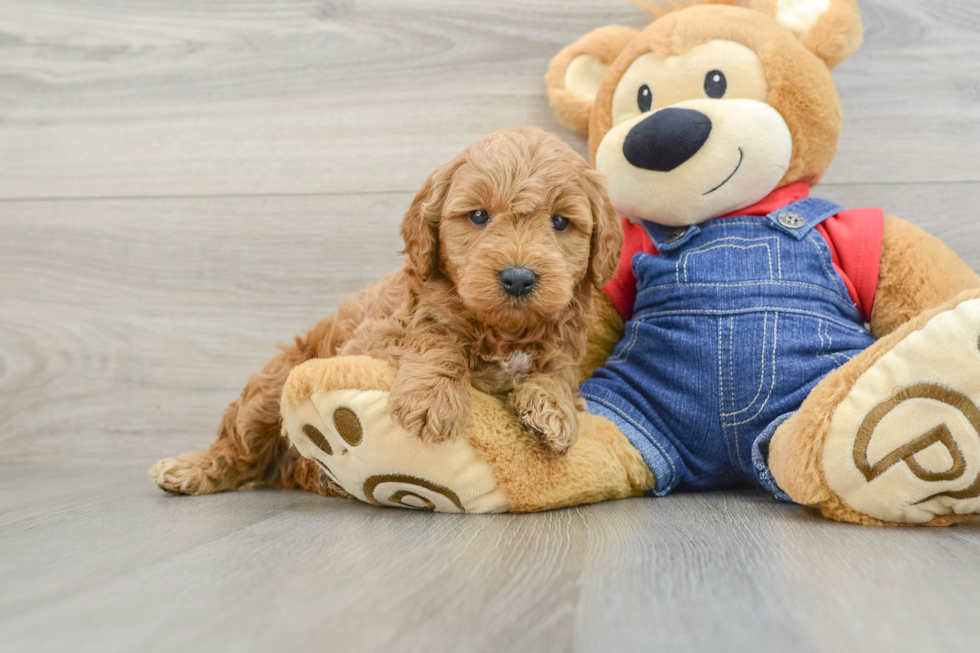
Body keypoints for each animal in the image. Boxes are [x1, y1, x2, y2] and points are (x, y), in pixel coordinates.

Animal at [149, 126, 624, 494]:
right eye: (478, 216)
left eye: (560, 222)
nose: (519, 278)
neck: (502, 330)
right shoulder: (373, 338)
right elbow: (435, 339)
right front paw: (432, 399)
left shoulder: (563, 352)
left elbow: (558, 376)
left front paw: (553, 412)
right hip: (269, 389)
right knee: (239, 448)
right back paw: (190, 470)